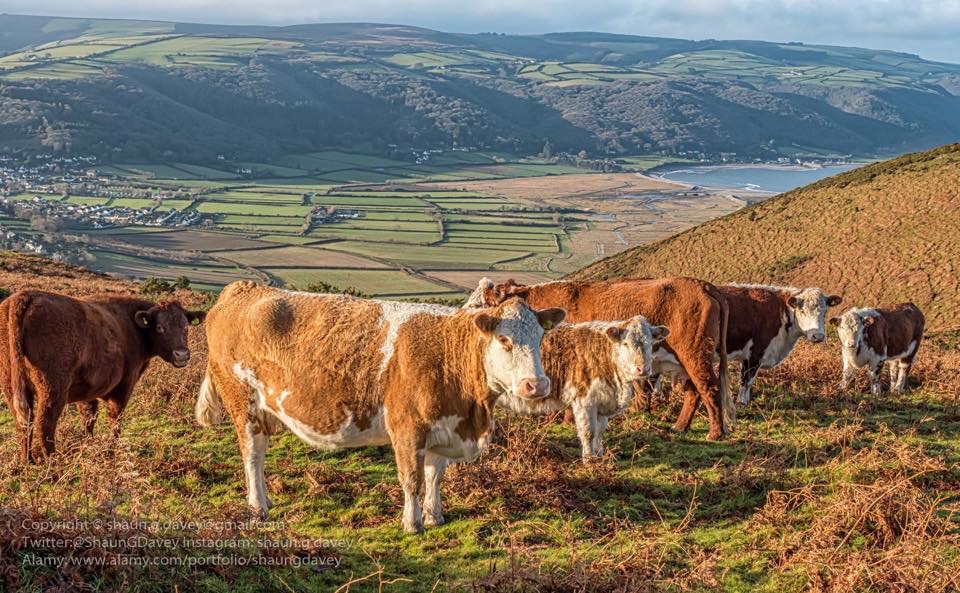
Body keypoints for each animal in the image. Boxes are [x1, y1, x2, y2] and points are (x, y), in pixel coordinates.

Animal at [0, 290, 205, 463]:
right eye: (160, 327)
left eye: (185, 327)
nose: (182, 354)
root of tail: (26, 296)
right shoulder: (124, 386)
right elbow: (115, 418)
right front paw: (113, 449)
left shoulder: (86, 390)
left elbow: (89, 417)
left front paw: (88, 444)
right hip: (52, 389)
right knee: (44, 425)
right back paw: (54, 463)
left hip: (10, 386)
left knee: (23, 422)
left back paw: (27, 461)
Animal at [195, 281, 565, 534]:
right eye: (504, 340)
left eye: (540, 338)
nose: (537, 385)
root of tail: (243, 288)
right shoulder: (406, 426)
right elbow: (412, 478)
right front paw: (413, 523)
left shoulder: (445, 426)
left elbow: (435, 475)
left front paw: (435, 515)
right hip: (243, 404)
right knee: (252, 455)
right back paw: (258, 506)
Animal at [467, 277, 734, 440]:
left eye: (481, 303)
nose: (466, 317)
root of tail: (704, 286)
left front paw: (560, 420)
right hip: (689, 360)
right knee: (694, 391)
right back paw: (680, 426)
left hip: (695, 355)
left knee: (709, 388)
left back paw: (715, 432)